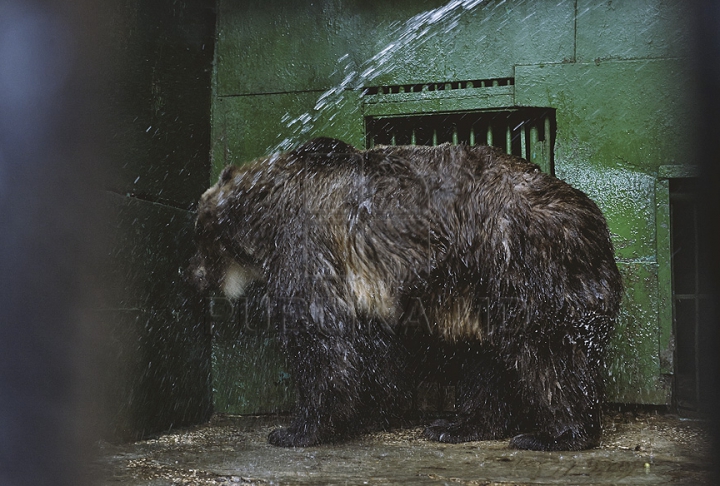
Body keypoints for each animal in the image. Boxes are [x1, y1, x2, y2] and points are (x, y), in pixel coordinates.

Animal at [191, 137, 624, 452]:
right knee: (487, 357)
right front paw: (370, 413)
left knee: (547, 355)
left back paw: (554, 434)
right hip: (482, 289)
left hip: (522, 266)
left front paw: (296, 430)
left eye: (200, 236)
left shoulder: (308, 247)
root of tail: (596, 224)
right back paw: (457, 424)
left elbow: (324, 344)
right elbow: (374, 353)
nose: (193, 276)